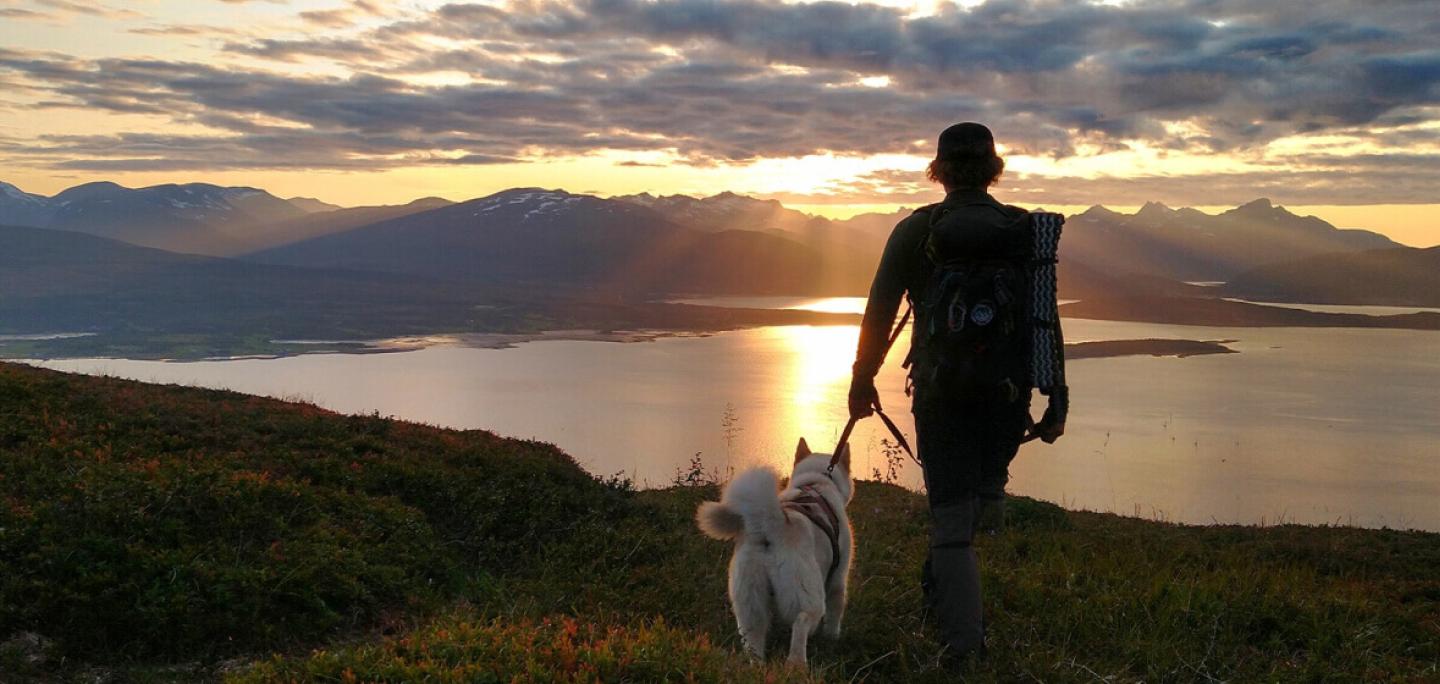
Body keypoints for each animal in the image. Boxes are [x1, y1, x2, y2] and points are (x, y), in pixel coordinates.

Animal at [696, 437, 852, 665]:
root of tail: (771, 527)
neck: (817, 484)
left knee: (754, 645)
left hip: (749, 606)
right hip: (808, 595)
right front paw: (832, 639)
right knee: (801, 624)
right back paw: (796, 666)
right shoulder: (837, 579)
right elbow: (835, 614)